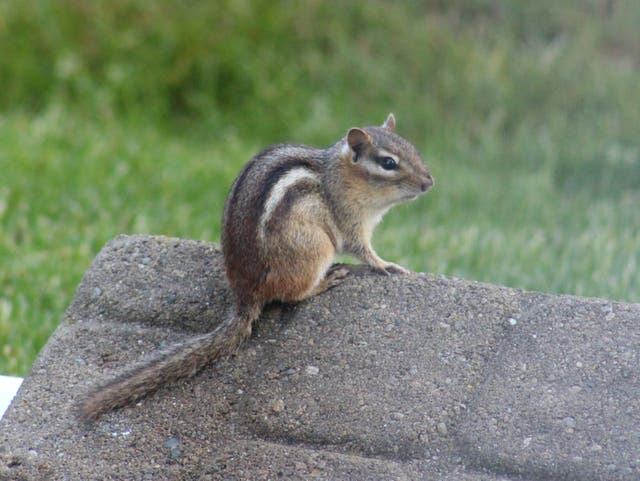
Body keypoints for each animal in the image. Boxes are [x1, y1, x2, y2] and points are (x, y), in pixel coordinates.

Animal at [79, 114, 434, 420]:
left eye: (413, 149)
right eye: (388, 163)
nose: (429, 183)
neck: (341, 175)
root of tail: (246, 291)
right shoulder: (350, 221)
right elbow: (364, 250)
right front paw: (388, 265)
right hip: (314, 248)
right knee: (291, 295)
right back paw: (325, 281)